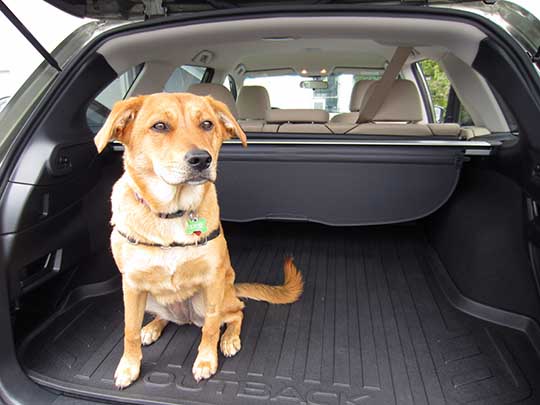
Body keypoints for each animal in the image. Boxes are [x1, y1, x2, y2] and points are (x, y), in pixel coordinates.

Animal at [93, 92, 304, 388]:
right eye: (159, 126)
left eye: (207, 124)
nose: (202, 160)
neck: (171, 213)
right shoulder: (132, 285)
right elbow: (129, 329)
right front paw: (129, 367)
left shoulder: (211, 280)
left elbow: (212, 327)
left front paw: (206, 360)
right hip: (151, 298)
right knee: (165, 318)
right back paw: (153, 327)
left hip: (211, 298)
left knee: (236, 312)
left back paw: (229, 338)